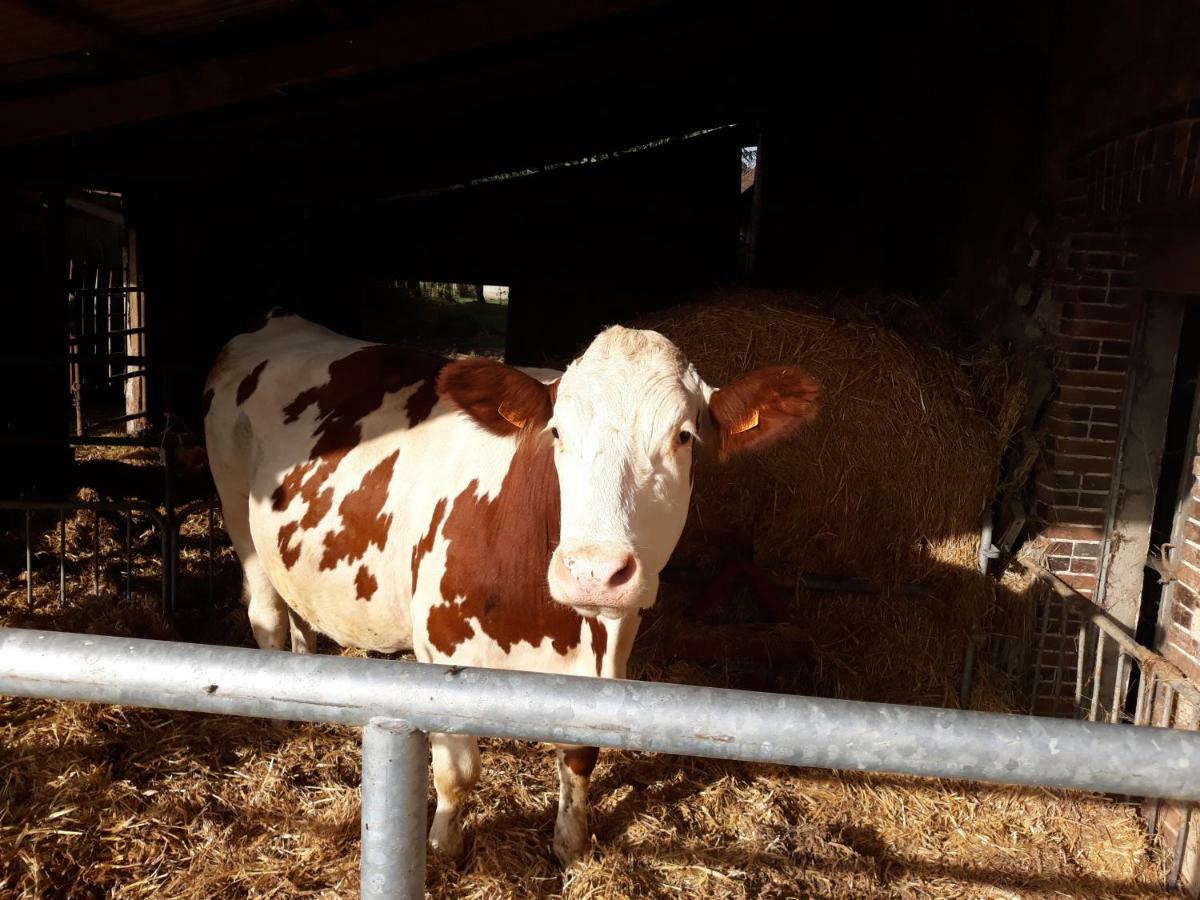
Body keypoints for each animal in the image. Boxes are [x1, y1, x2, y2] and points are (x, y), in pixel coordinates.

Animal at [204, 309, 825, 868]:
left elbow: (580, 754)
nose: (592, 572)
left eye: (685, 435)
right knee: (267, 618)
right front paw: (444, 847)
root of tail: (276, 323)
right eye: (557, 432)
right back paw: (278, 721)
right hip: (240, 519)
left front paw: (570, 846)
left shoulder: (611, 648)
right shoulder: (442, 652)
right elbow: (457, 773)